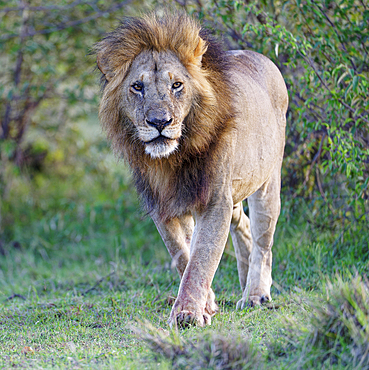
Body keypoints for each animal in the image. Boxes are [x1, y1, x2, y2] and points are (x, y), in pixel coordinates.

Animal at [94, 13, 288, 328]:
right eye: (137, 87)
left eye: (176, 85)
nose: (159, 121)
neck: (170, 161)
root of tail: (263, 58)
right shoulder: (164, 206)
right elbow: (183, 255)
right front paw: (206, 305)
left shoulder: (214, 201)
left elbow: (201, 258)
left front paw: (187, 314)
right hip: (235, 189)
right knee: (243, 226)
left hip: (267, 182)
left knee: (263, 242)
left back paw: (256, 294)